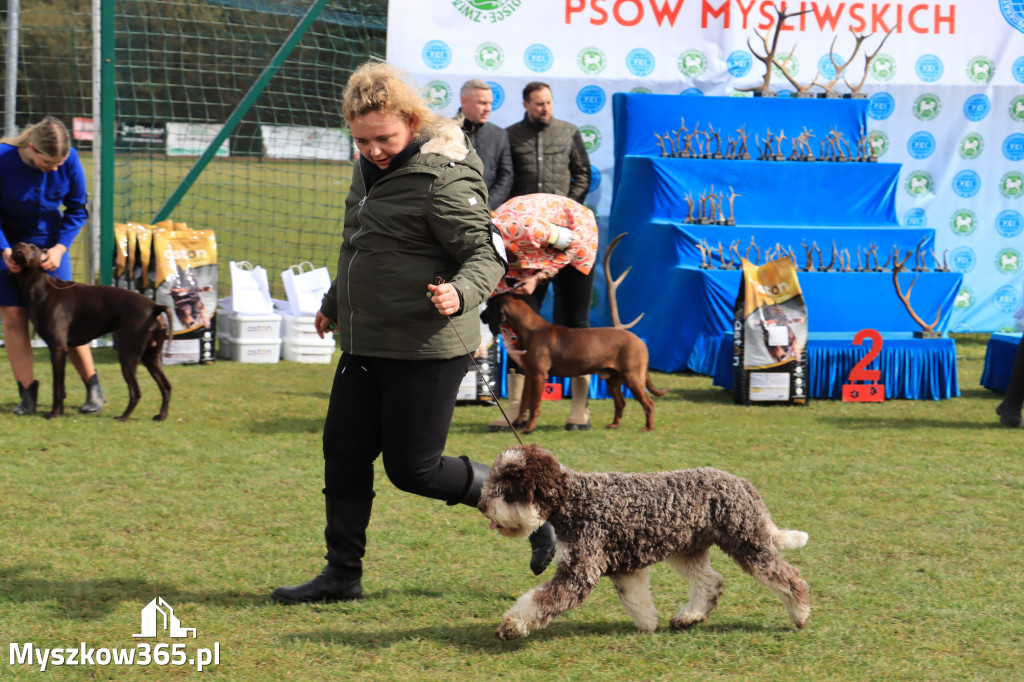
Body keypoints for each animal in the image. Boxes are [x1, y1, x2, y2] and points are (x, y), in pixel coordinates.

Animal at [9, 238, 172, 419]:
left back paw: (123, 417)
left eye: (33, 248)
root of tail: (155, 306)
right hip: (150, 357)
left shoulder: (57, 348)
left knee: (136, 392)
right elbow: (61, 388)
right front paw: (60, 411)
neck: (41, 288)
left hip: (128, 355)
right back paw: (161, 416)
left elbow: (57, 387)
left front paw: (54, 413)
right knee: (166, 387)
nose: (20, 246)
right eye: (17, 245)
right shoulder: (60, 349)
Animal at [477, 440, 806, 638]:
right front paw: (649, 626)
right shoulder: (624, 568)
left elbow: (539, 600)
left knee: (790, 578)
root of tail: (744, 485)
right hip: (688, 550)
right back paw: (689, 618)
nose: (481, 505)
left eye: (509, 488)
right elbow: (637, 600)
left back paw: (801, 615)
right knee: (710, 582)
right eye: (493, 480)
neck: (577, 500)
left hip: (749, 543)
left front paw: (511, 625)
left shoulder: (579, 572)